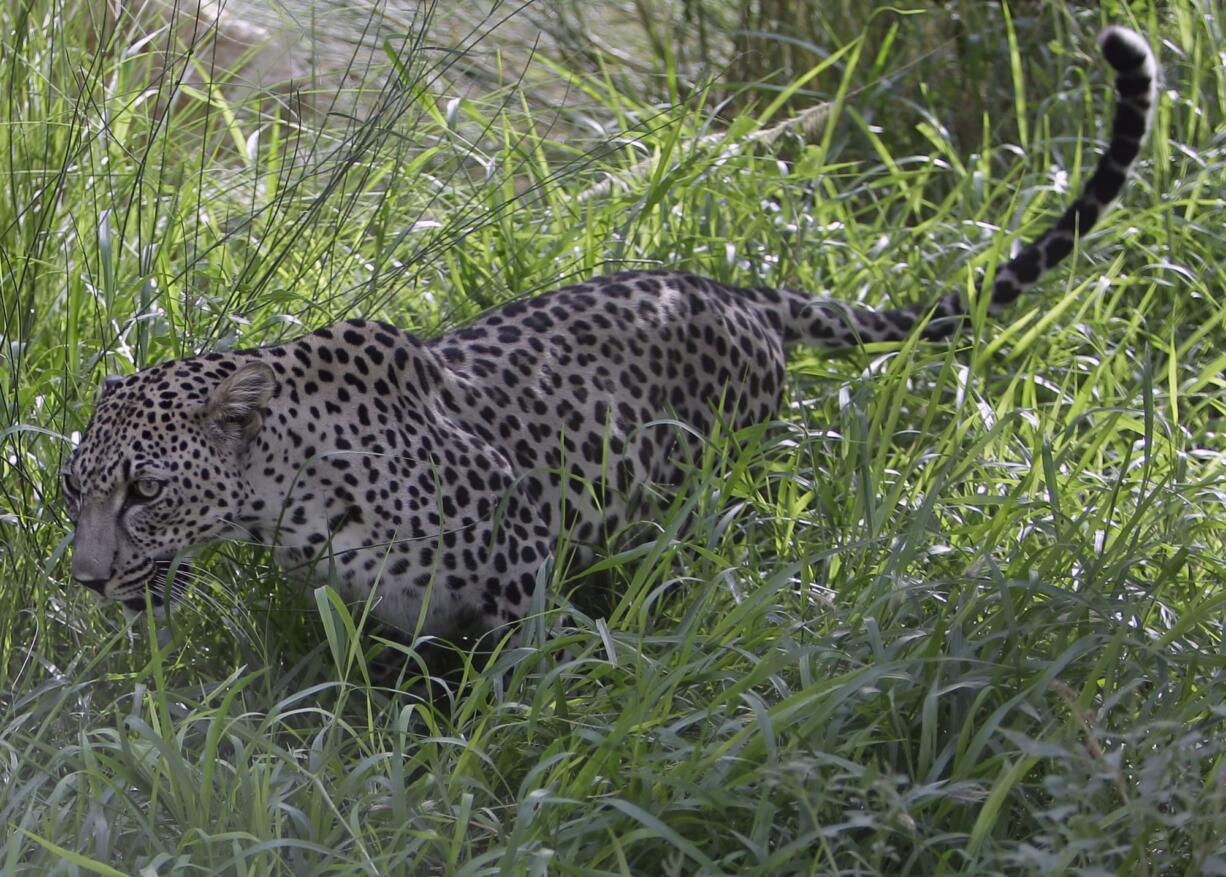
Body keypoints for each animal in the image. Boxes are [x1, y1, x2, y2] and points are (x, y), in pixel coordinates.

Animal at [62, 25, 1157, 657]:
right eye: (75, 490)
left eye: (146, 491)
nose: (85, 578)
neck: (291, 501)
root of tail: (730, 288)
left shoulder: (519, 577)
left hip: (716, 497)